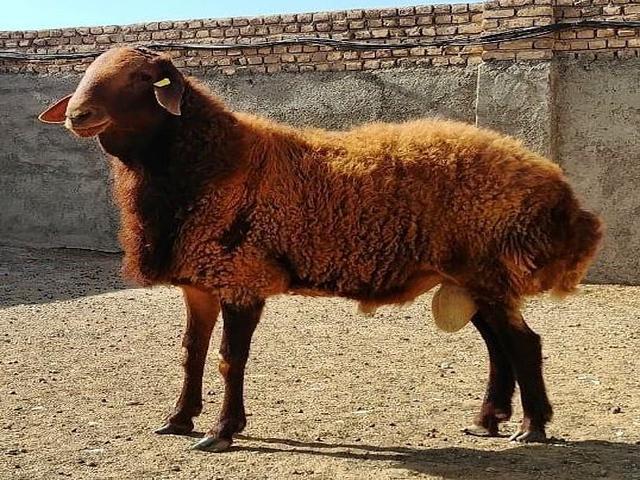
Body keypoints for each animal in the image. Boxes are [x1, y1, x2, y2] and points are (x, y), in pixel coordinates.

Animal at [39, 46, 603, 451]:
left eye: (141, 79)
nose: (78, 115)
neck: (214, 162)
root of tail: (557, 186)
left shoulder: (241, 276)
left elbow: (228, 358)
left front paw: (221, 432)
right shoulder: (200, 282)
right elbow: (190, 354)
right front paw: (177, 420)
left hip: (487, 269)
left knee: (523, 343)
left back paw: (532, 427)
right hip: (470, 277)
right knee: (499, 345)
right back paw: (489, 420)